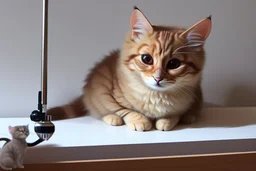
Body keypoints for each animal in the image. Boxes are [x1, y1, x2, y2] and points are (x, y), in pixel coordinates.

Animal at [48, 6, 212, 132]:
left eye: (174, 64)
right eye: (147, 59)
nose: (158, 78)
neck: (156, 96)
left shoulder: (192, 96)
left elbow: (175, 114)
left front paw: (166, 121)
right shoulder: (104, 88)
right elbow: (123, 109)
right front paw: (139, 120)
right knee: (97, 110)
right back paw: (112, 118)